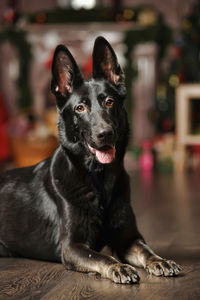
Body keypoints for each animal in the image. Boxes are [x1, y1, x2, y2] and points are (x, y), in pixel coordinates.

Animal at [0, 37, 181, 284]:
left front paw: (160, 261)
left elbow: (146, 250)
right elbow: (101, 257)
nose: (105, 134)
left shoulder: (129, 239)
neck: (98, 177)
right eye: (80, 108)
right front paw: (119, 267)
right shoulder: (72, 247)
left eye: (110, 102)